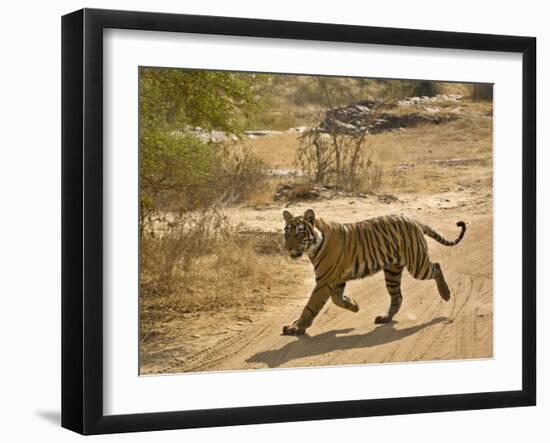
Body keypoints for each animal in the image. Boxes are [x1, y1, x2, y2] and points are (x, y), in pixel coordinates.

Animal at [282, 210, 468, 334]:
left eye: (299, 233)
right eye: (286, 233)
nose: (287, 248)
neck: (312, 247)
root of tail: (413, 219)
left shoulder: (325, 280)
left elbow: (310, 306)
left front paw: (296, 327)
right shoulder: (336, 279)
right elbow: (337, 299)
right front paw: (354, 305)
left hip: (417, 265)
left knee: (436, 267)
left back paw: (446, 294)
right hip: (392, 272)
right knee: (397, 297)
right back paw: (385, 318)